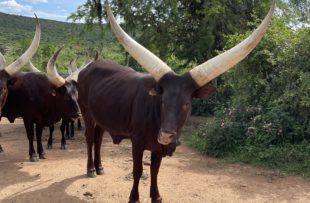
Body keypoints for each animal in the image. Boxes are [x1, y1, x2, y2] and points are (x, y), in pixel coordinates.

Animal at [77, 0, 276, 202]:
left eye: (186, 103)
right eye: (163, 100)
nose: (166, 135)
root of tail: (88, 67)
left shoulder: (158, 148)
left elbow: (155, 171)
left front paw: (156, 196)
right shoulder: (137, 141)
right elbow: (138, 170)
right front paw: (134, 197)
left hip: (101, 116)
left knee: (98, 138)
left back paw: (100, 167)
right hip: (86, 111)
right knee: (89, 138)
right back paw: (91, 169)